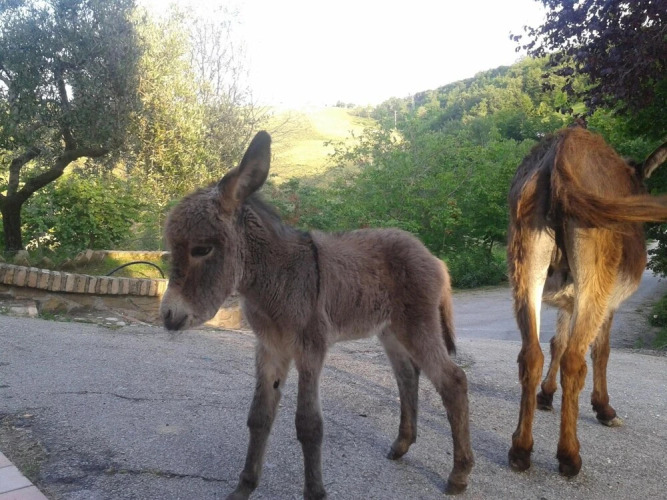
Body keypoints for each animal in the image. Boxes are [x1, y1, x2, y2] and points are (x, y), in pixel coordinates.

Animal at [160, 131, 474, 499]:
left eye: (202, 249)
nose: (167, 315)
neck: (275, 278)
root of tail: (432, 256)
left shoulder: (310, 348)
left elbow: (308, 425)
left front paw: (315, 491)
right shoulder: (270, 349)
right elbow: (259, 416)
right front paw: (244, 487)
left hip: (418, 325)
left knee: (453, 381)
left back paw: (459, 475)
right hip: (390, 331)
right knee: (408, 375)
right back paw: (402, 445)